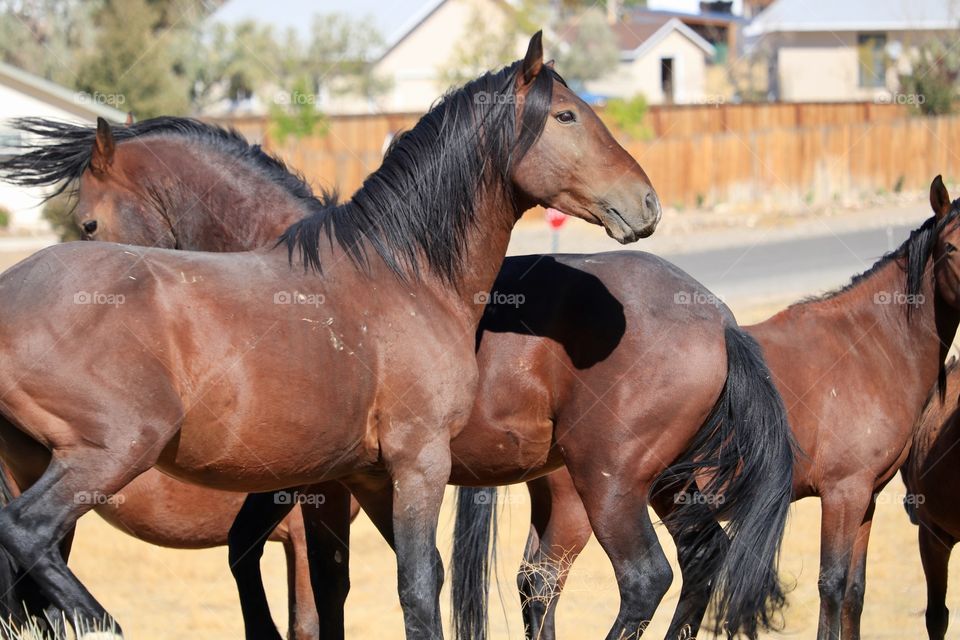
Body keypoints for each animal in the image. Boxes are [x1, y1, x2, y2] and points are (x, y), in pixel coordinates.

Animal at [456, 178, 960, 640]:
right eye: (952, 247)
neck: (865, 347)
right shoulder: (843, 494)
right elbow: (832, 588)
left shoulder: (867, 499)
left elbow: (854, 592)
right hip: (584, 504)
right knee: (547, 580)